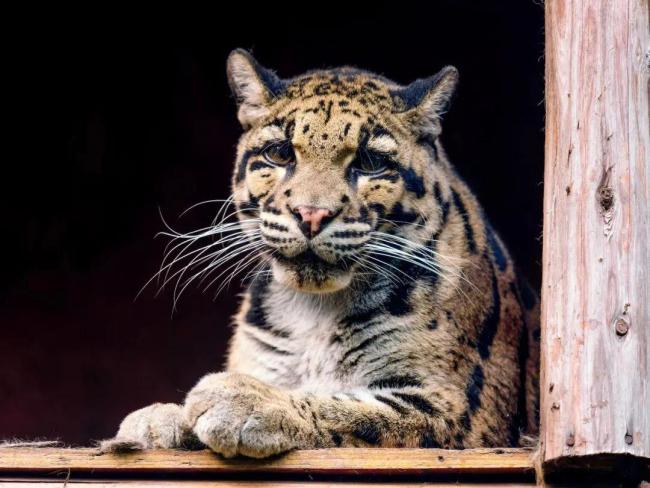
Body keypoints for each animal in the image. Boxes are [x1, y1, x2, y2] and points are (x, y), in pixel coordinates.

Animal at [100, 49, 536, 458]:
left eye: (371, 162)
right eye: (279, 154)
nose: (311, 214)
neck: (314, 311)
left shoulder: (463, 413)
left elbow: (359, 411)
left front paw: (244, 400)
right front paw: (159, 420)